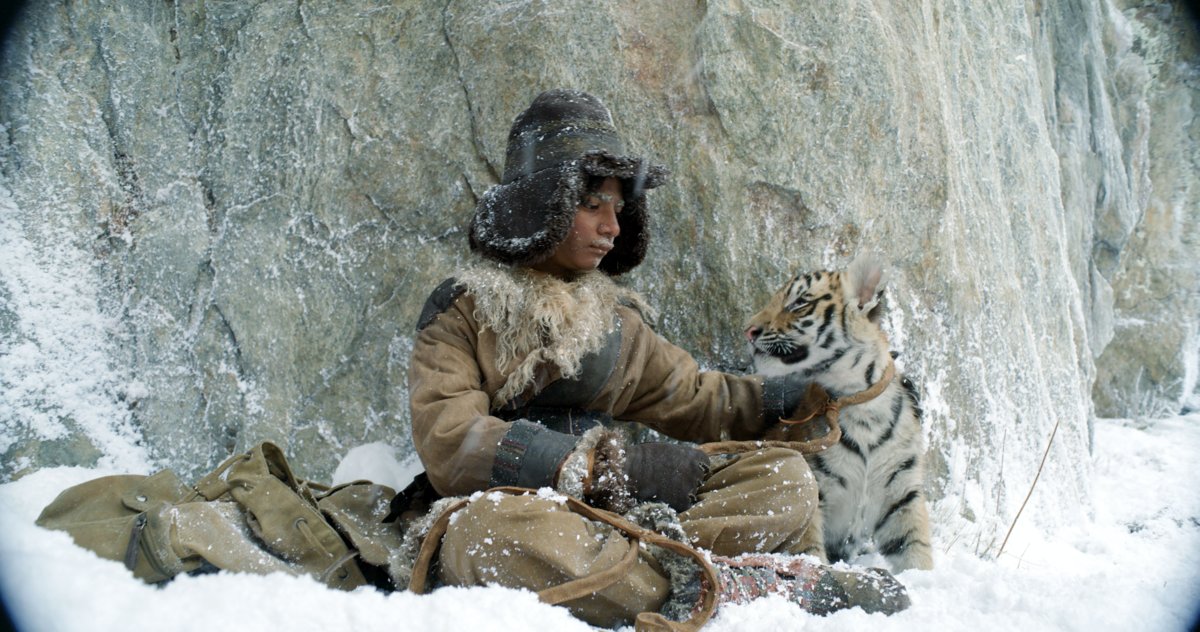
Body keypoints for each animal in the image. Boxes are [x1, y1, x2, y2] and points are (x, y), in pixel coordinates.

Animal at [744, 253, 934, 573]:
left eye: (798, 303)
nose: (748, 330)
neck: (859, 401)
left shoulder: (902, 491)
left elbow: (915, 546)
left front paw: (921, 578)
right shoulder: (814, 485)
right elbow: (808, 545)